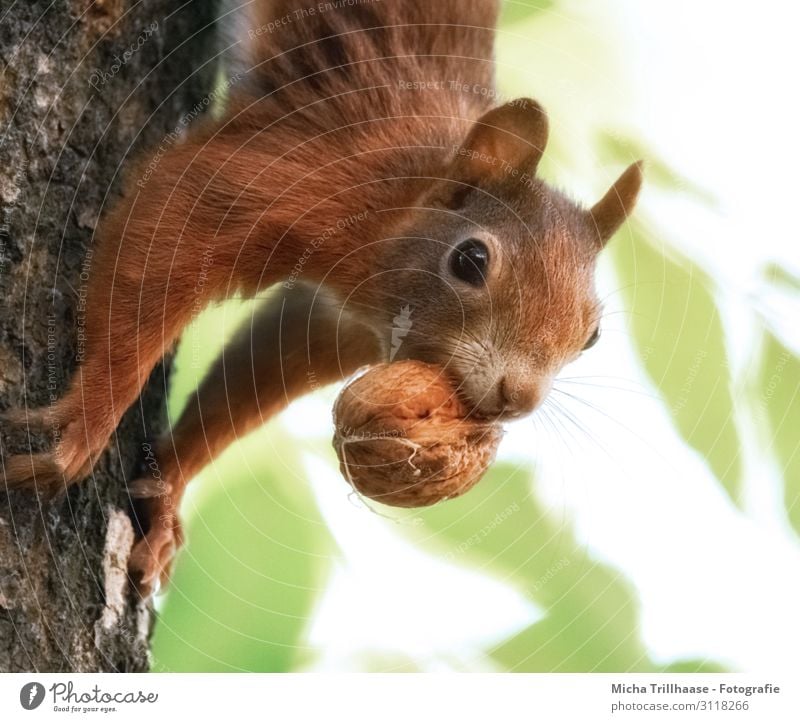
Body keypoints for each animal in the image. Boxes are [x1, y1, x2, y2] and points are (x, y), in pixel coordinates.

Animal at [0, 0, 636, 592]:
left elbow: (256, 372)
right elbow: (169, 218)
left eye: (592, 335)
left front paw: (167, 489)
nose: (518, 398)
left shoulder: (336, 327)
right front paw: (88, 422)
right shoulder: (302, 173)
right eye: (471, 260)